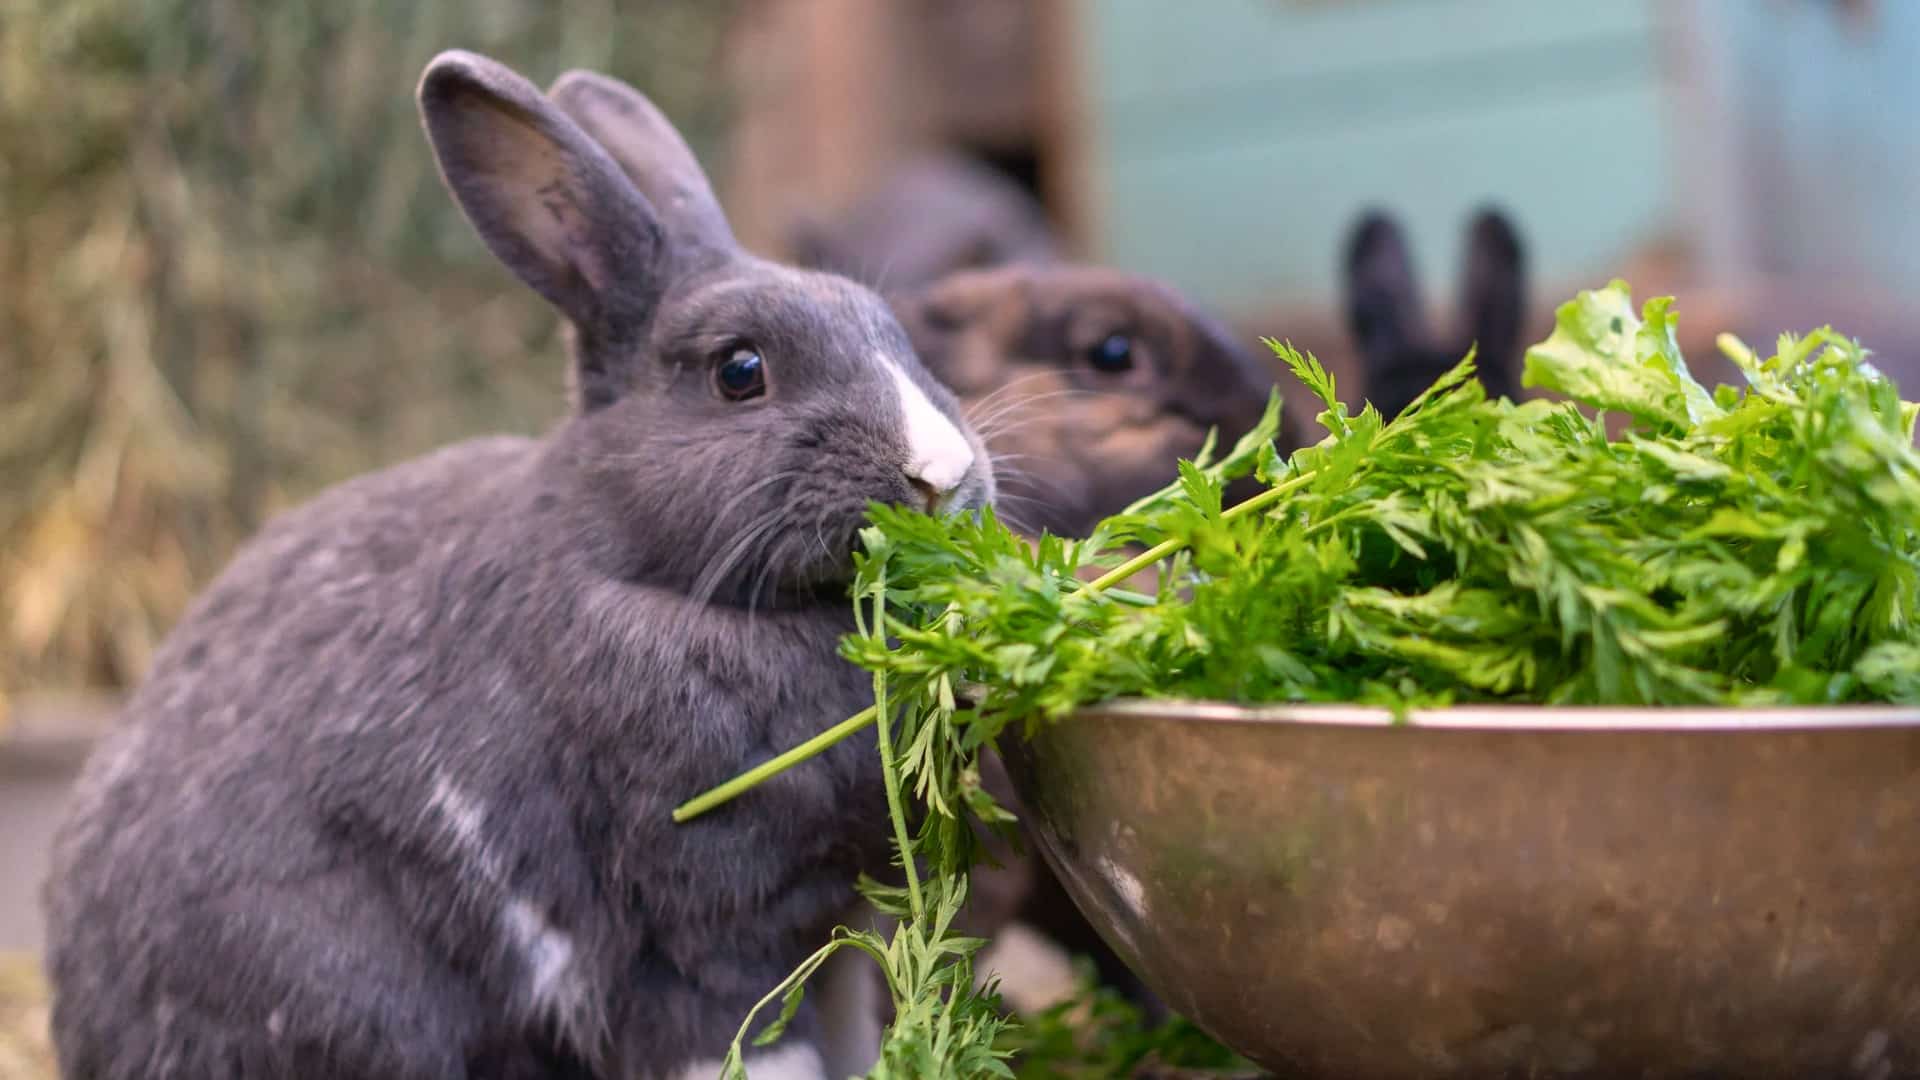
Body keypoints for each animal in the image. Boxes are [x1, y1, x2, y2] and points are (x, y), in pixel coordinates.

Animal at [40, 49, 994, 1080]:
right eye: (740, 372)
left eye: (897, 334)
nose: (940, 474)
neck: (635, 571)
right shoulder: (704, 942)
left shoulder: (840, 935)